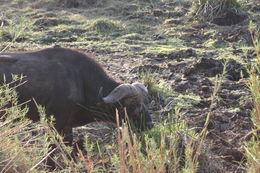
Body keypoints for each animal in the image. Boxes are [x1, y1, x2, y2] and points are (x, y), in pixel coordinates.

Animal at [0, 46, 153, 143]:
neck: (81, 80)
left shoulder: (68, 126)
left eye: (145, 102)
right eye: (132, 104)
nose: (149, 124)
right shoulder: (55, 123)